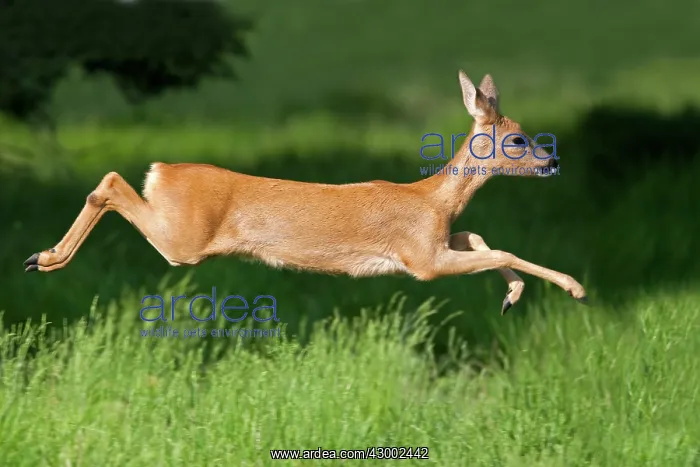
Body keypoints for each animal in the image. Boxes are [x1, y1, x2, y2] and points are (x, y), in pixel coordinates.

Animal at [24, 70, 588, 315]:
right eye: (518, 139)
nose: (554, 160)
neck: (433, 200)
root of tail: (161, 170)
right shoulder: (421, 260)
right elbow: (500, 248)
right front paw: (573, 288)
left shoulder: (439, 242)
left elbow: (480, 239)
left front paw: (513, 294)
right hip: (182, 241)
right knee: (111, 184)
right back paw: (45, 258)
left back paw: (42, 258)